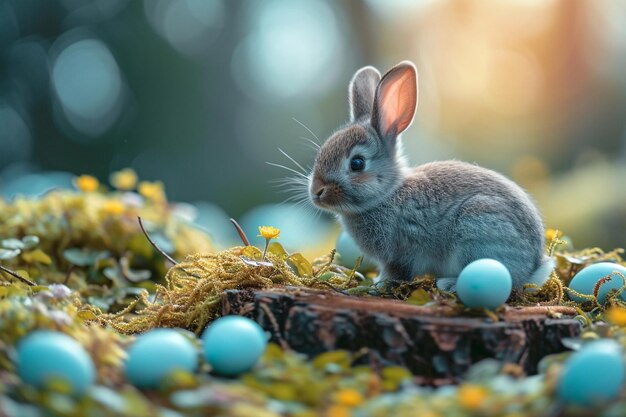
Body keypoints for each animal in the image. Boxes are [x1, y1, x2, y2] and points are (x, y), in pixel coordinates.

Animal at [306, 60, 552, 290]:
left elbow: (395, 273)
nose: (317, 192)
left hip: (478, 226)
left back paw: (450, 284)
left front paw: (377, 285)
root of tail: (534, 267)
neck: (387, 194)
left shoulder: (400, 254)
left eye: (357, 163)